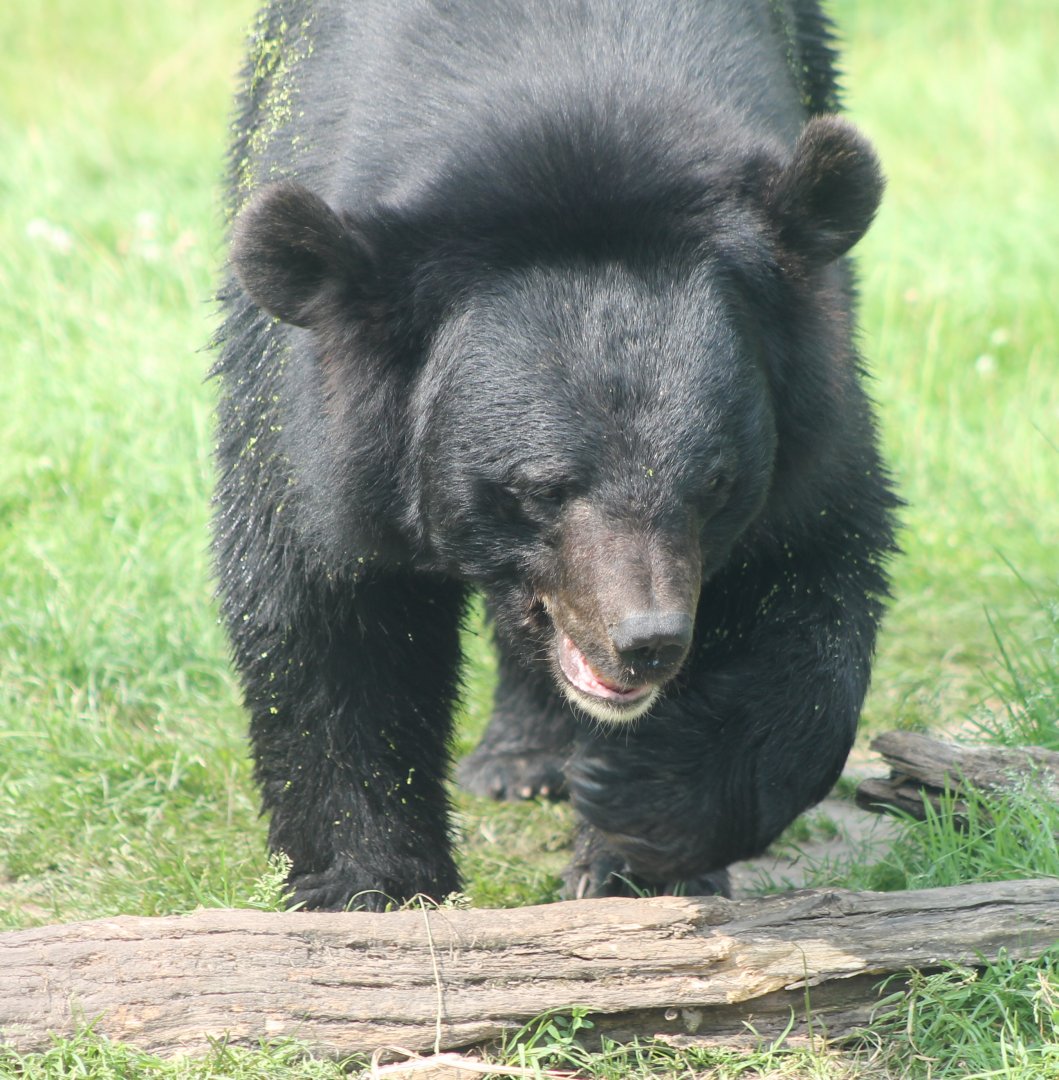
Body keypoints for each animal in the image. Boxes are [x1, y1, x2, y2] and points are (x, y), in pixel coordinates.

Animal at [212, 0, 899, 911]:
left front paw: (639, 817)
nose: (648, 642)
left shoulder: (807, 392)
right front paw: (372, 888)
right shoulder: (314, 421)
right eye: (540, 489)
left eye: (715, 484)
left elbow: (807, 576)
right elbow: (327, 609)